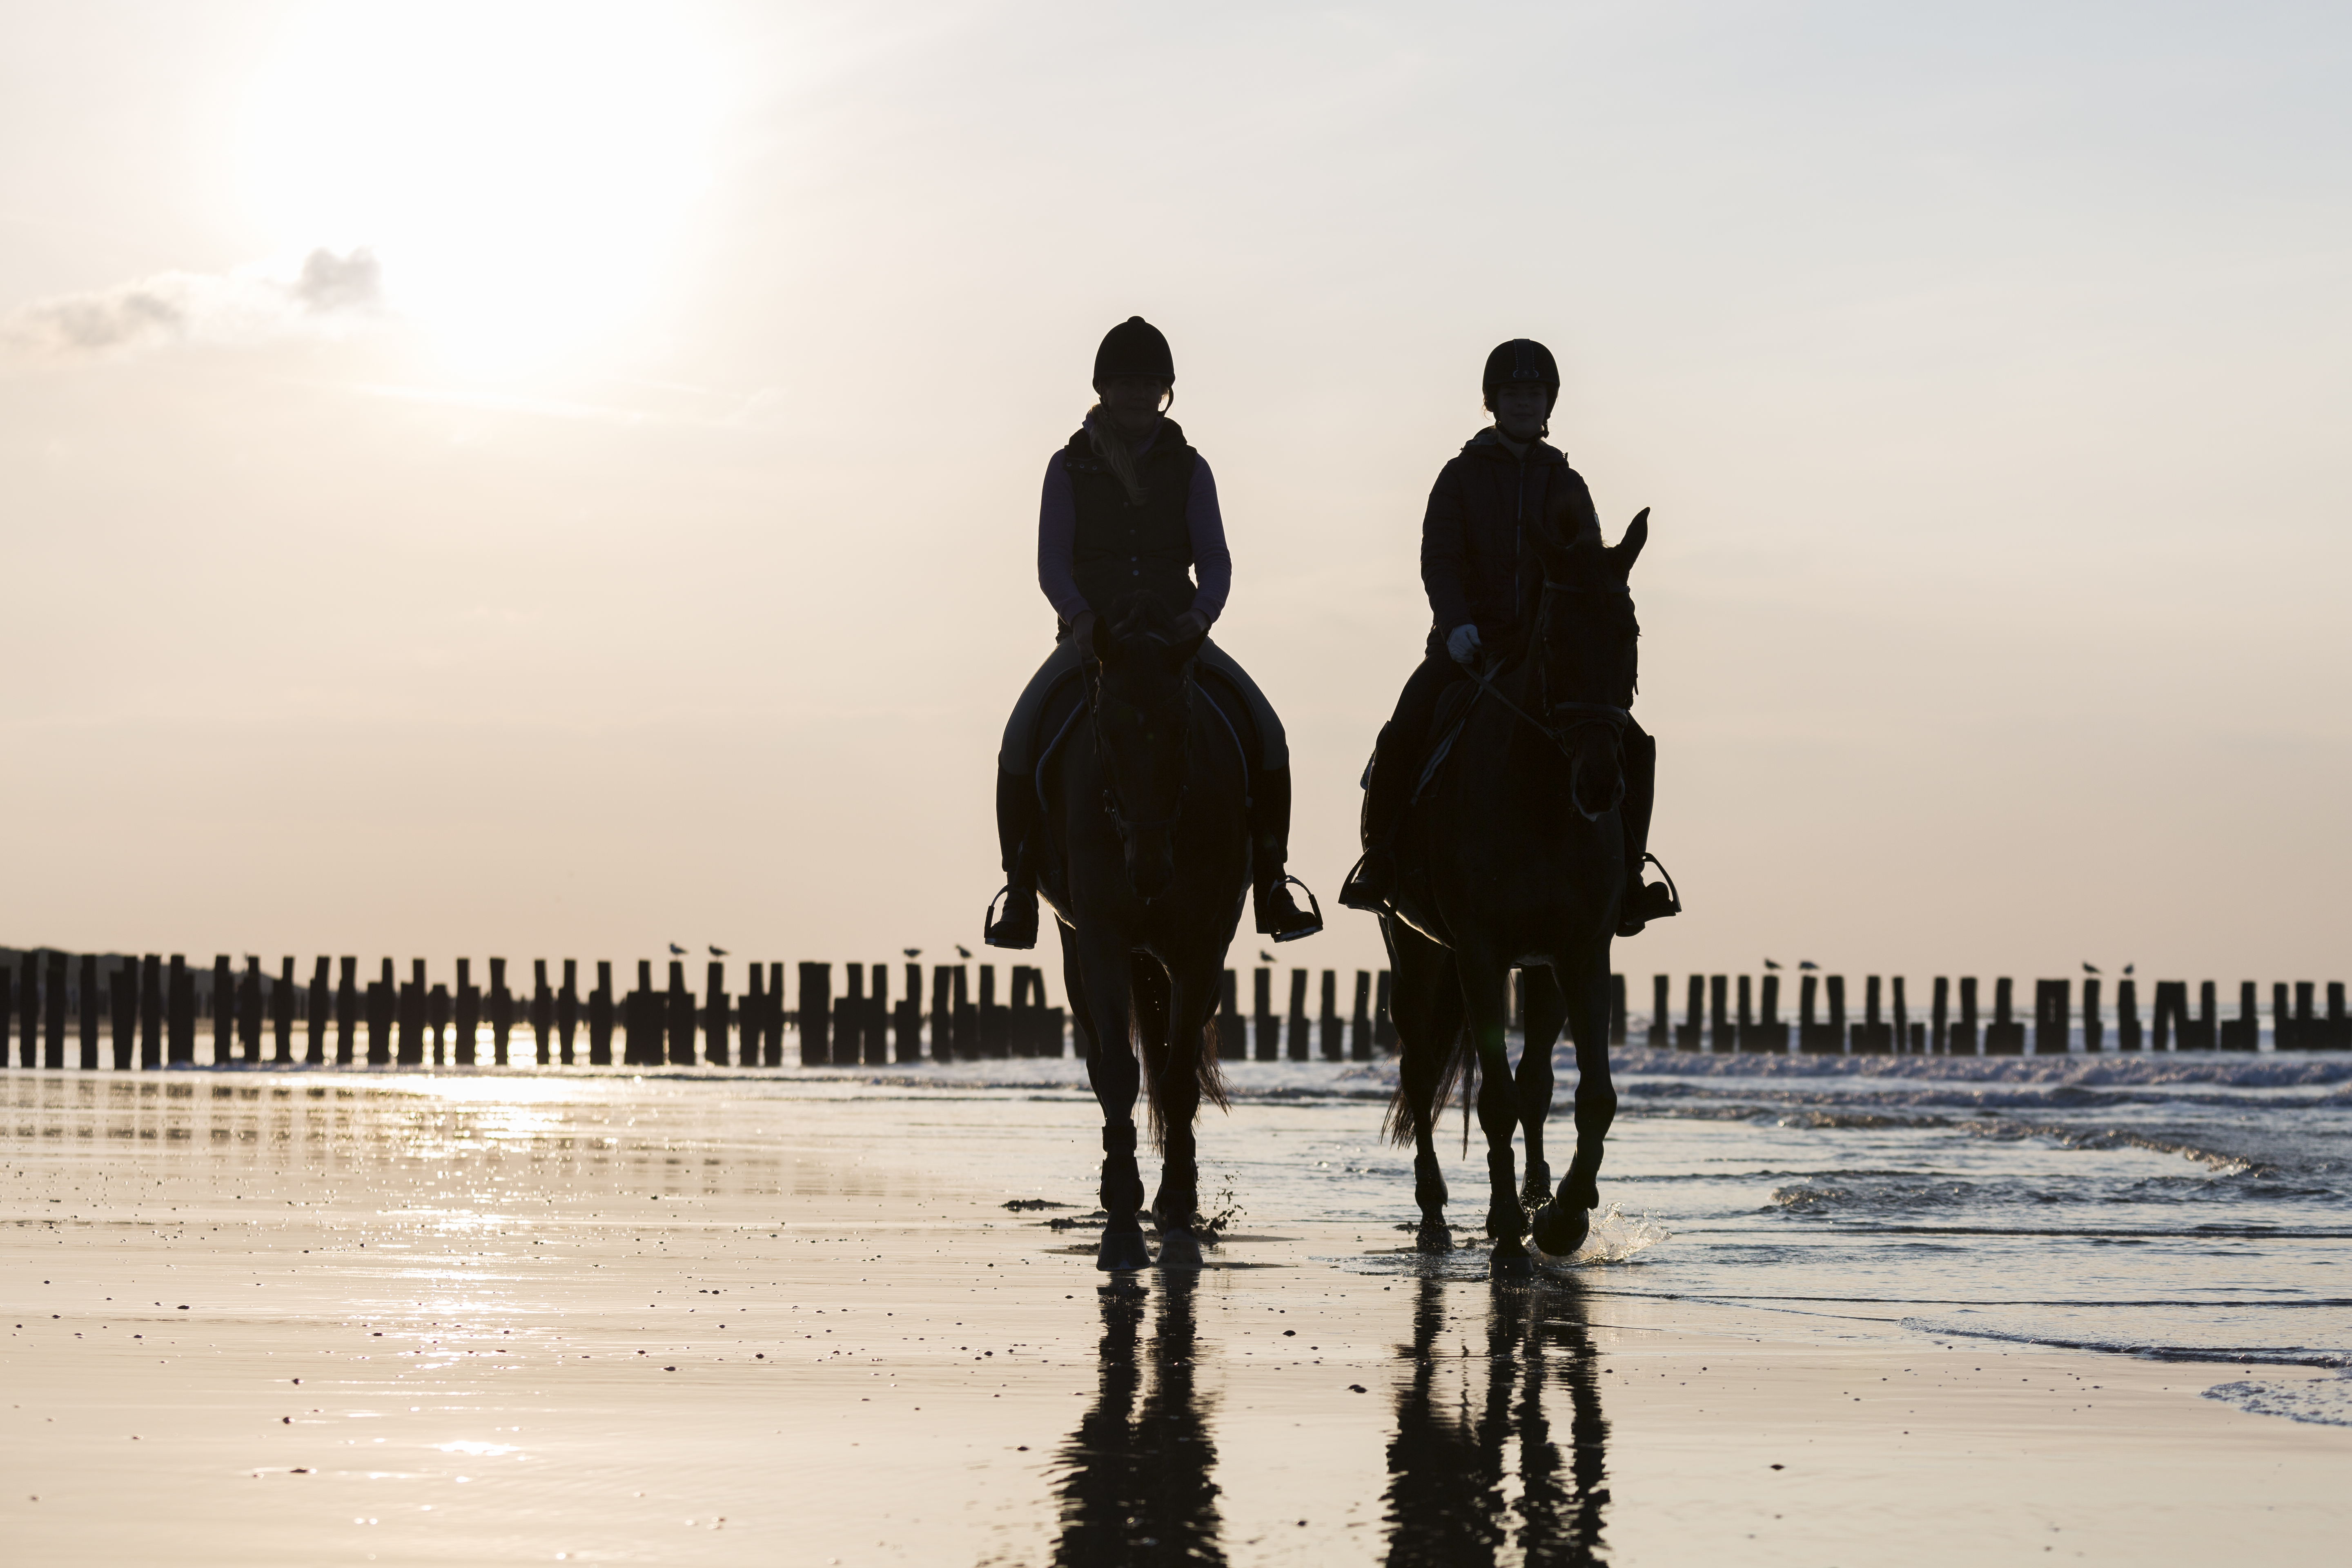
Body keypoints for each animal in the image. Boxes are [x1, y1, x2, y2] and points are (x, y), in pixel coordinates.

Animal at [1035, 595, 1251, 1269]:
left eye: (1182, 731)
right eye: (1106, 732)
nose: (1150, 870)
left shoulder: (1201, 946)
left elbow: (1179, 1078)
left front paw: (1178, 1219)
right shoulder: (1101, 940)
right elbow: (1120, 1074)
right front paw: (1123, 1227)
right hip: (1077, 951)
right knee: (1103, 1062)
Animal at [1373, 503, 1656, 1278]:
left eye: (1629, 634)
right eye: (1555, 637)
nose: (1600, 783)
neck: (1540, 799)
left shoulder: (1582, 953)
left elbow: (1593, 1096)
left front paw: (1562, 1217)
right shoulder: (1479, 951)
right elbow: (1494, 1100)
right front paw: (1506, 1228)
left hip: (1540, 971)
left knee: (1536, 1082)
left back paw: (1535, 1196)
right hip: (1417, 953)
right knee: (1419, 1070)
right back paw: (1437, 1213)